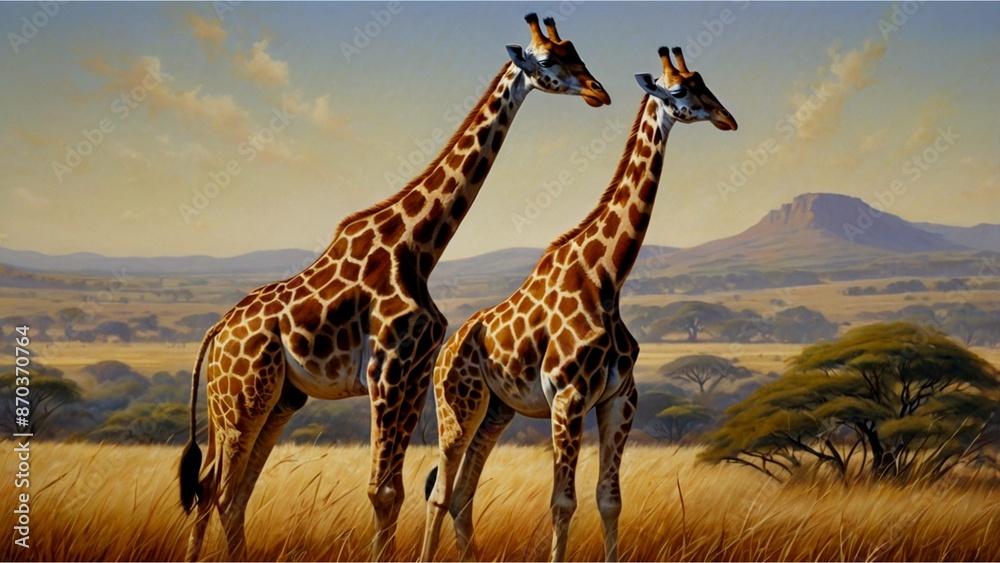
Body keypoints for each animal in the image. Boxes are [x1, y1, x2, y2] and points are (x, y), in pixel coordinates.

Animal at [177, 14, 610, 562]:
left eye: (579, 54)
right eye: (551, 60)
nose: (598, 92)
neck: (418, 247)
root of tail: (216, 331)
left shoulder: (414, 373)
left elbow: (397, 490)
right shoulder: (386, 371)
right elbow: (381, 491)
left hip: (269, 400)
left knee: (220, 490)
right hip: (243, 399)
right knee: (220, 490)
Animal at [421, 46, 736, 562]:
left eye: (704, 83)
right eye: (679, 90)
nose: (727, 118)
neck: (606, 278)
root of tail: (444, 351)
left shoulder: (621, 397)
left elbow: (609, 499)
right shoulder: (567, 398)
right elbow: (562, 502)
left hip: (496, 410)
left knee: (465, 492)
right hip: (457, 404)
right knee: (440, 493)